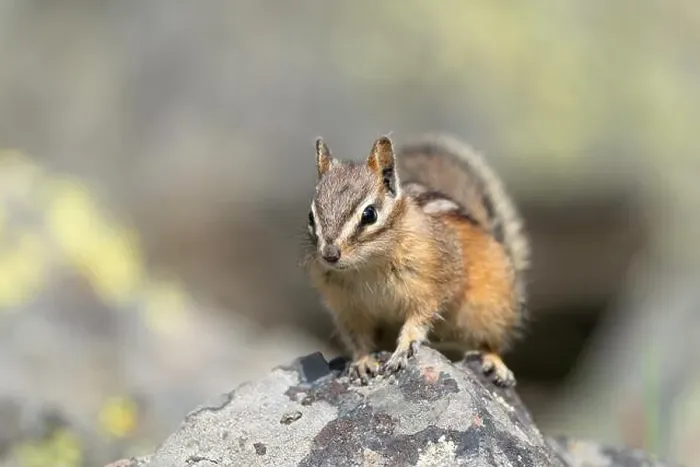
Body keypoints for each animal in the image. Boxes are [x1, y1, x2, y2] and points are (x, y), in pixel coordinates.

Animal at [303, 133, 530, 387]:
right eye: (311, 217)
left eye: (369, 214)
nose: (330, 255)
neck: (367, 267)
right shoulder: (349, 309)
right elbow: (359, 338)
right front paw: (362, 361)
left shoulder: (433, 286)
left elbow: (419, 319)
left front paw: (404, 349)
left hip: (490, 310)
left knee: (490, 342)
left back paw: (494, 363)